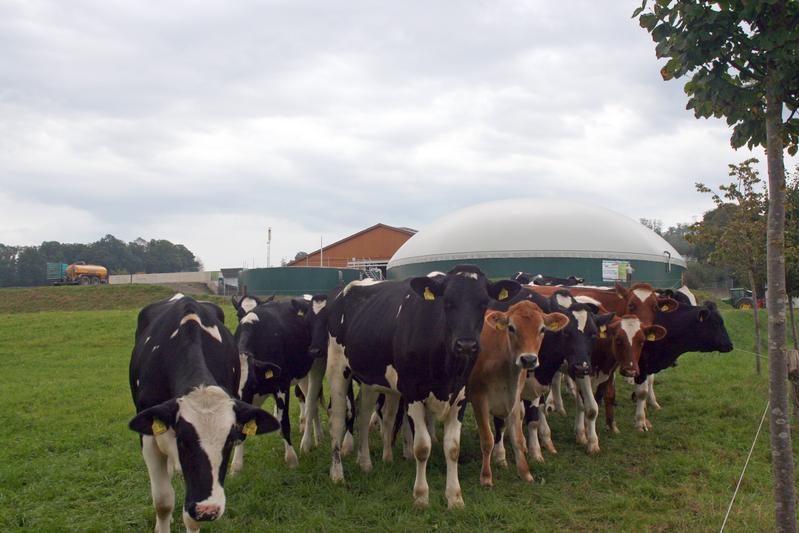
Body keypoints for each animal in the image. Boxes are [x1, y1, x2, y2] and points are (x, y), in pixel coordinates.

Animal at [128, 296, 278, 532]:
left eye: (229, 442)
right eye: (183, 441)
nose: (208, 510)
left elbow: (189, 516)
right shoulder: (149, 436)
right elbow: (163, 502)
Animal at [322, 264, 520, 508]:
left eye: (484, 304)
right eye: (447, 303)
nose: (466, 345)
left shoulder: (461, 395)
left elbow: (453, 448)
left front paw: (455, 498)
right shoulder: (413, 393)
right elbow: (422, 446)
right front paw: (421, 496)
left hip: (370, 379)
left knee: (364, 414)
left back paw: (365, 462)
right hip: (337, 369)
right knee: (338, 420)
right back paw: (337, 474)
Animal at [466, 300, 572, 486]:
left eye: (542, 329)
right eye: (511, 327)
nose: (528, 359)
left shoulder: (514, 399)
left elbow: (518, 437)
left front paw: (525, 473)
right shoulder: (479, 399)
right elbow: (487, 439)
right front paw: (486, 477)